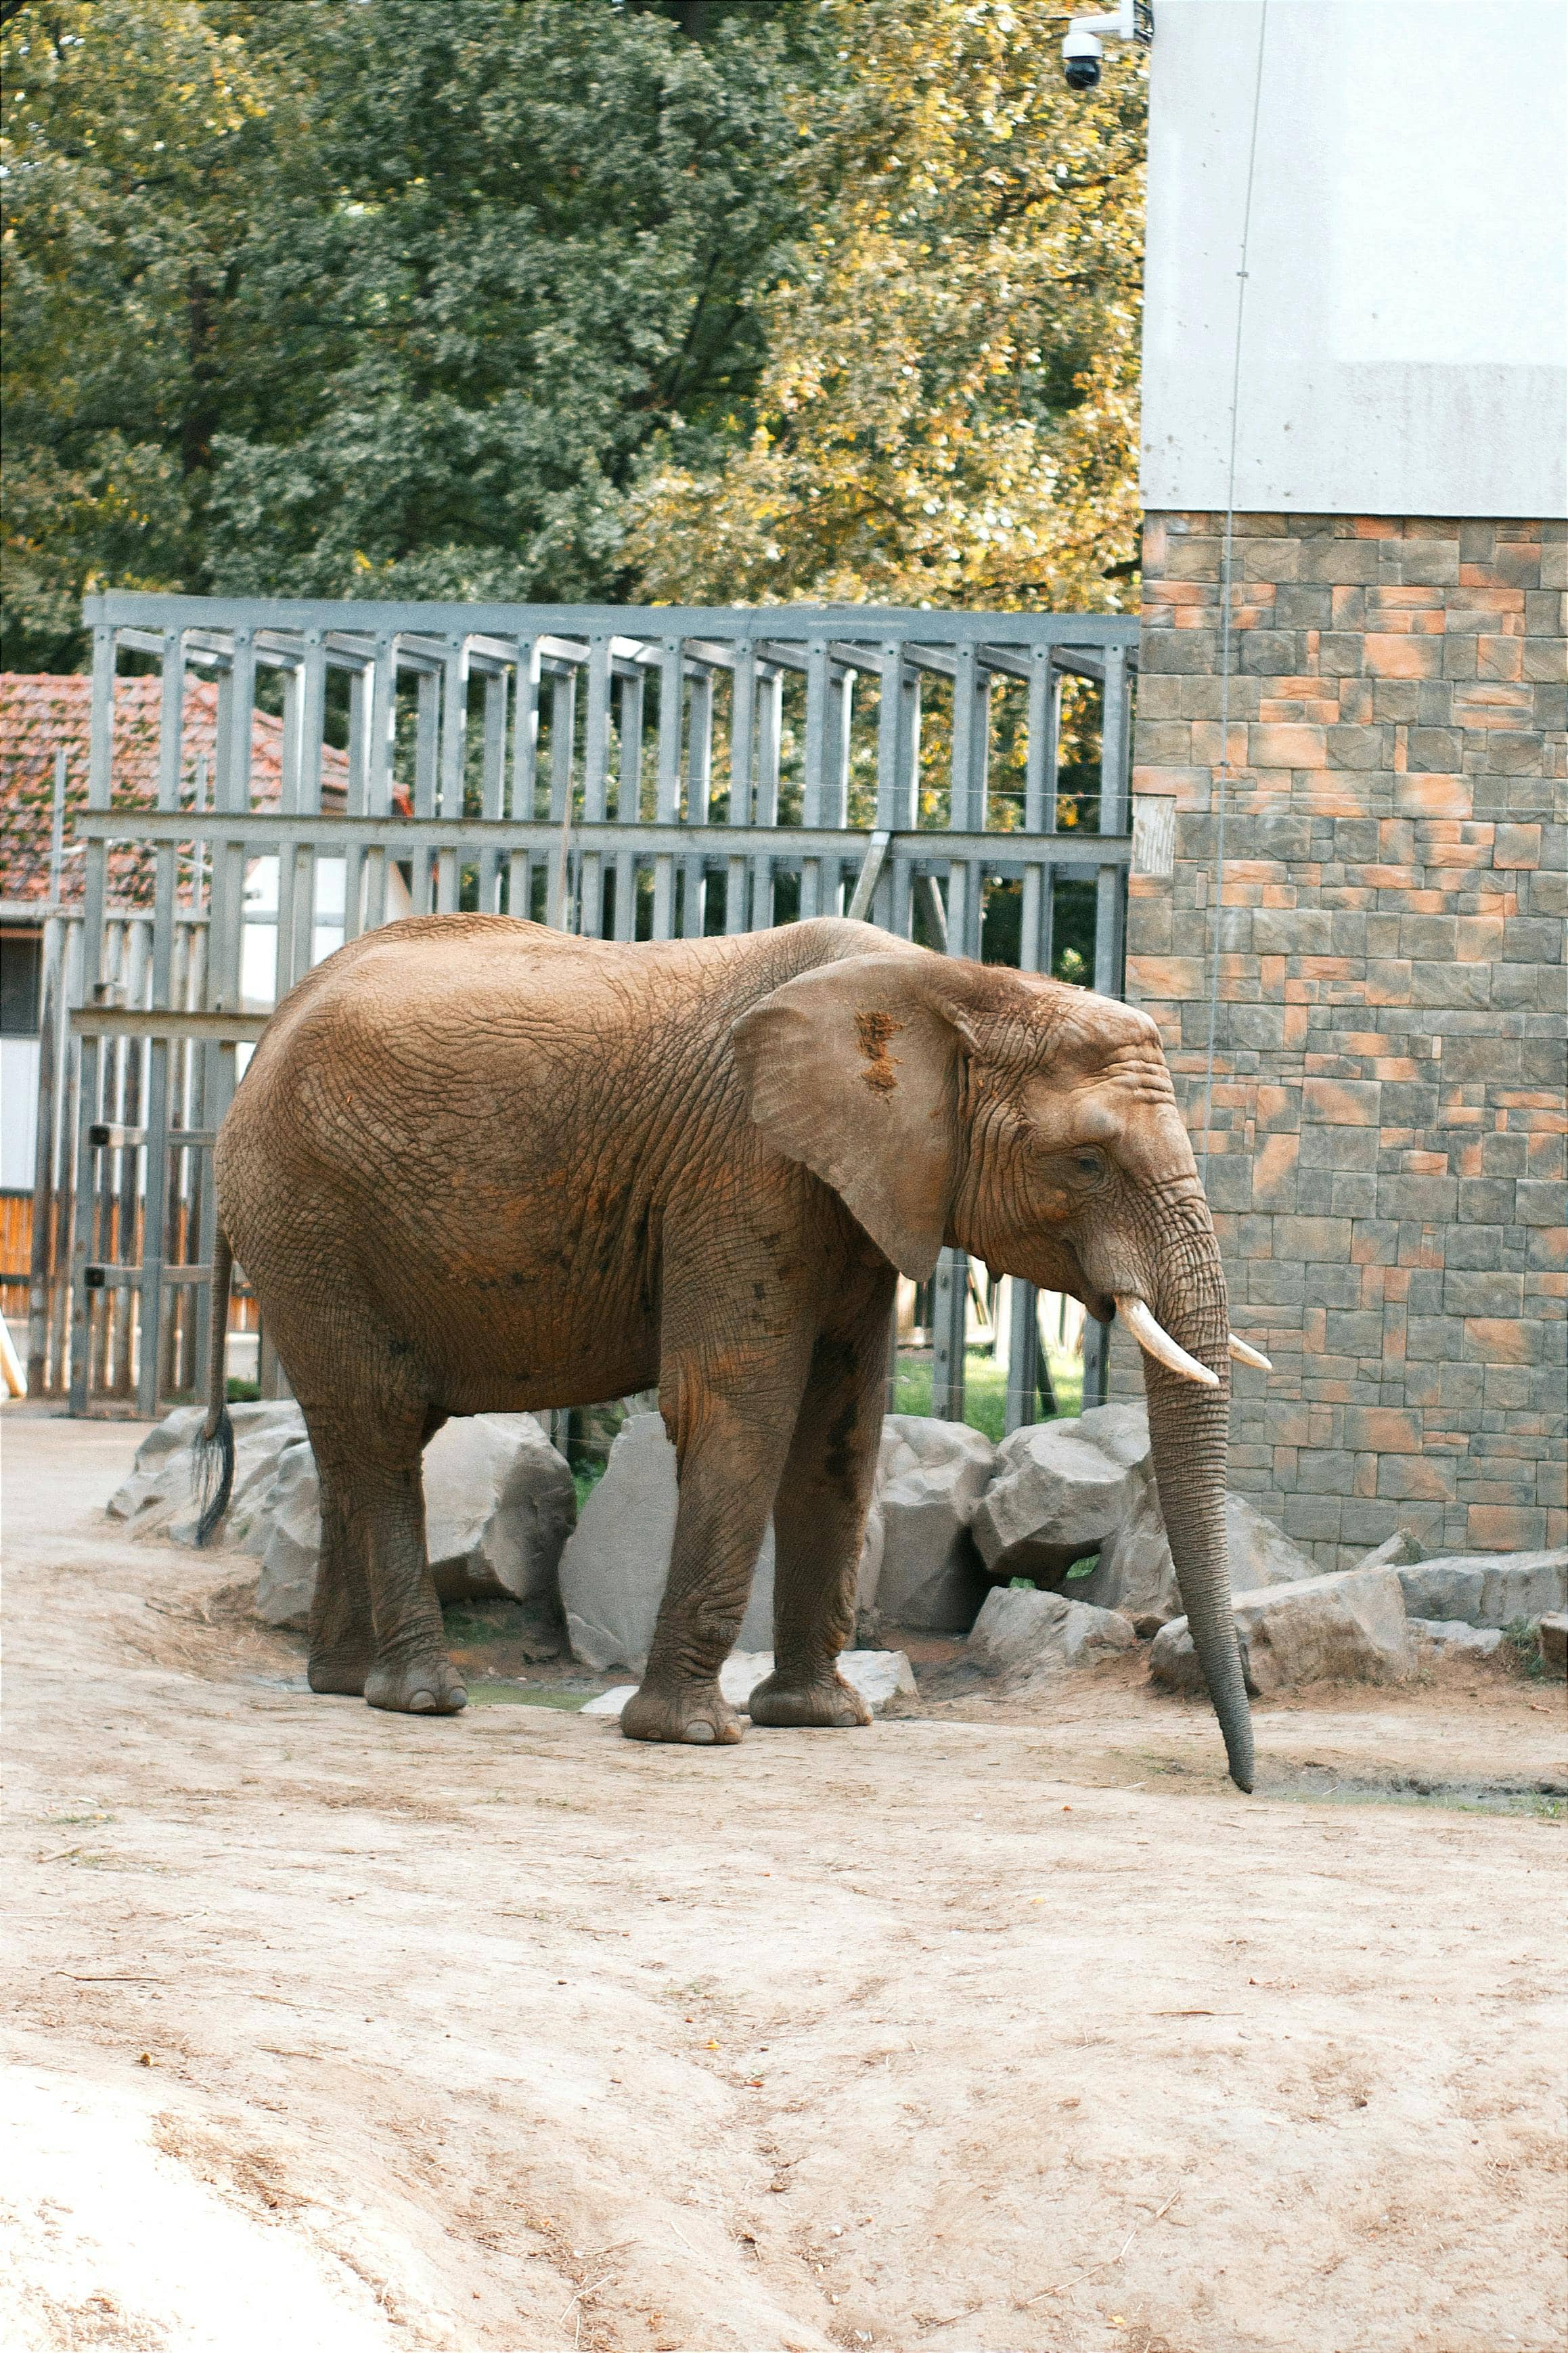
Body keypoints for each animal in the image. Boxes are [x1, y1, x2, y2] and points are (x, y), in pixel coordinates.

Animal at [196, 912, 1257, 1789]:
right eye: (1086, 1162)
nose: (1241, 1784)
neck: (952, 984)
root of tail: (262, 1040)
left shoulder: (857, 1190)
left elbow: (843, 1423)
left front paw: (820, 1720)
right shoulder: (743, 1166)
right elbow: (739, 1401)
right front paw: (692, 1735)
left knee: (363, 1433)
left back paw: (343, 1683)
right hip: (307, 1214)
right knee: (376, 1424)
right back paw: (422, 1696)